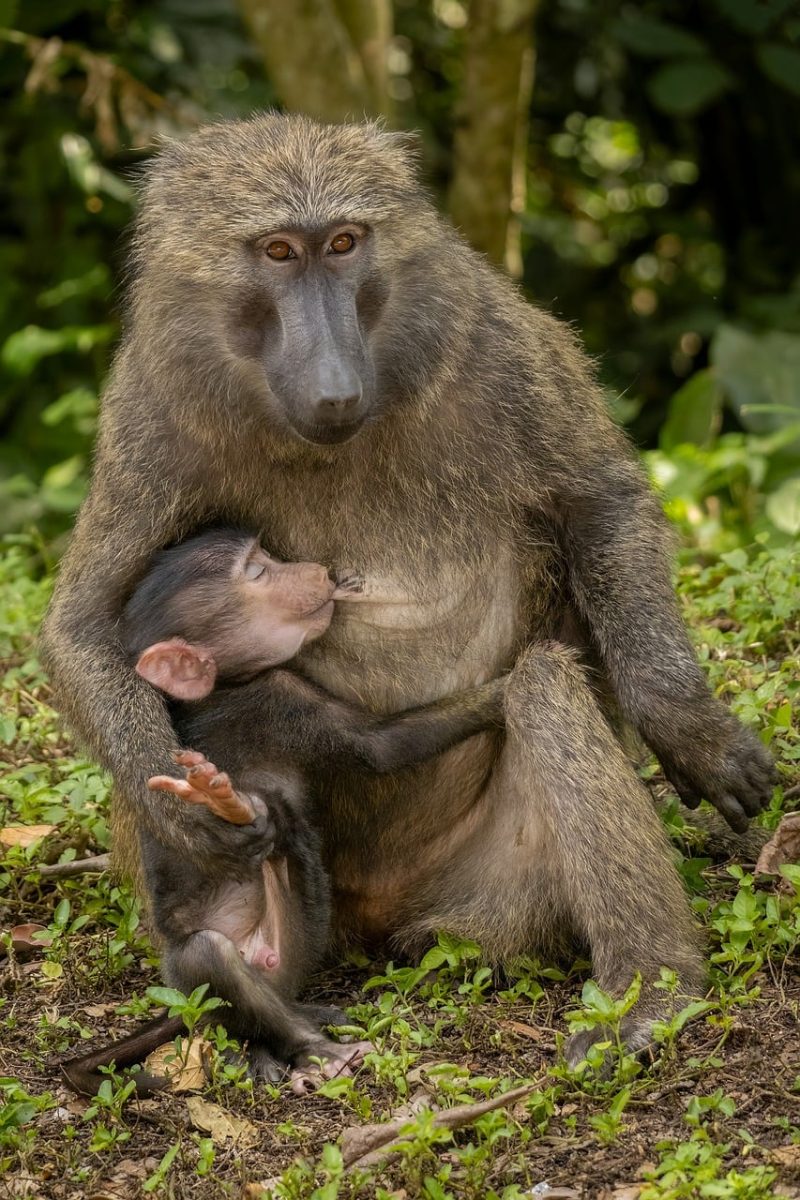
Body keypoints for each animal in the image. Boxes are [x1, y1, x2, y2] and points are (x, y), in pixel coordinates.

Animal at [40, 114, 776, 1069]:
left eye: (345, 244)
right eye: (278, 251)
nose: (336, 389)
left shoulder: (490, 338)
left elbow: (599, 499)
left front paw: (687, 726)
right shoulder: (150, 409)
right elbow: (83, 624)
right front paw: (188, 810)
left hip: (500, 893)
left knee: (543, 684)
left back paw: (646, 993)